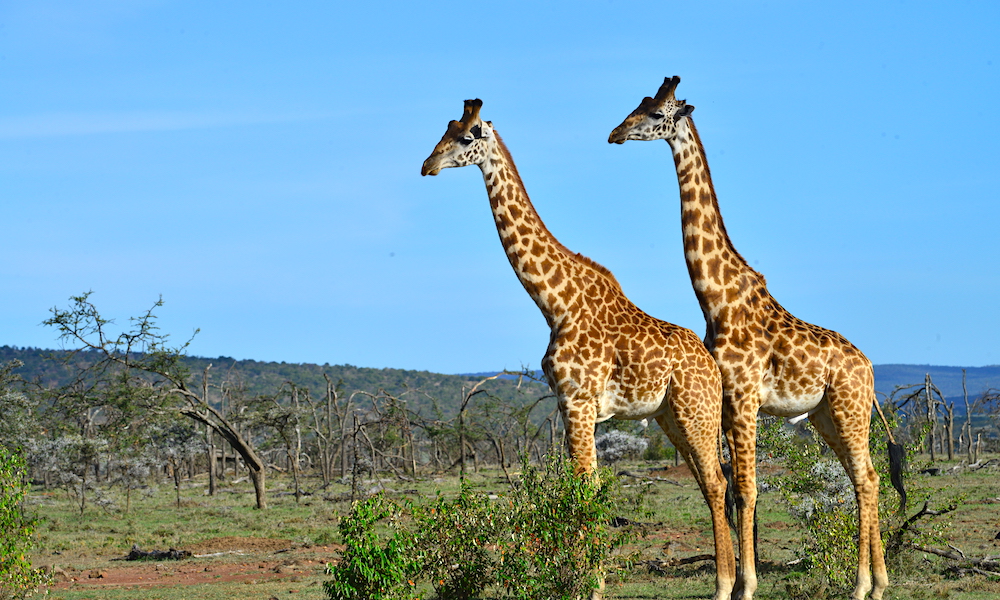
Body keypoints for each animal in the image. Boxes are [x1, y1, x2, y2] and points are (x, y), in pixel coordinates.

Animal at [420, 98, 736, 600]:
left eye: (467, 136)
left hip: (696, 410)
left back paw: (725, 585)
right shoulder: (566, 404)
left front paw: (592, 584)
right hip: (669, 416)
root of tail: (710, 362)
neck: (555, 302)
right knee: (711, 483)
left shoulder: (580, 402)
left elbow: (587, 491)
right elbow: (578, 490)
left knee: (715, 480)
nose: (427, 165)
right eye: (445, 129)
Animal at [608, 75, 892, 600]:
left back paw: (864, 584)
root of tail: (867, 367)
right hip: (826, 416)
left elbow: (746, 488)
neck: (716, 299)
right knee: (868, 476)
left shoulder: (742, 399)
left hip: (849, 409)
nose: (616, 133)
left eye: (656, 113)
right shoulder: (724, 403)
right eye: (638, 103)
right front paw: (739, 579)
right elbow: (727, 488)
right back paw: (877, 582)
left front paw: (746, 585)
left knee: (864, 479)